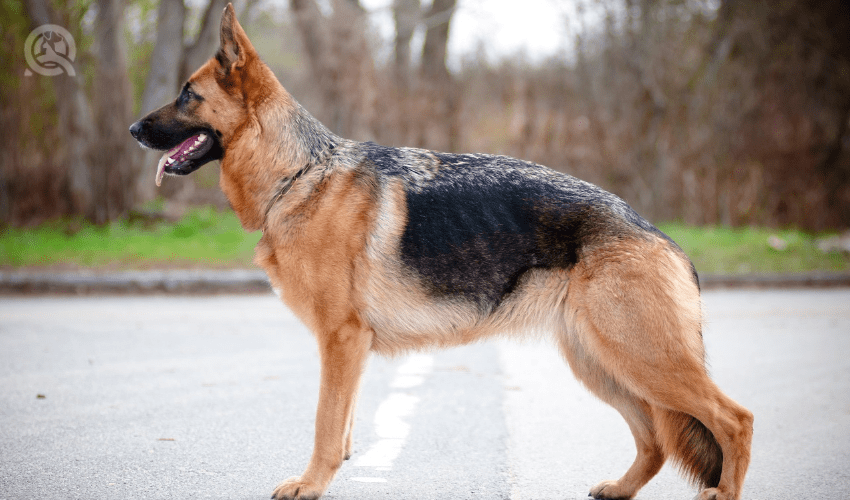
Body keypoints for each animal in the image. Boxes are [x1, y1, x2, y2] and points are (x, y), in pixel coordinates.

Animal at [129, 4, 752, 500]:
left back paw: (721, 492)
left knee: (734, 419)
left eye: (187, 95)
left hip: (642, 359)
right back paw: (619, 489)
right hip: (602, 364)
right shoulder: (348, 350)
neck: (299, 174)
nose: (134, 129)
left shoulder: (341, 340)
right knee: (656, 440)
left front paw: (310, 484)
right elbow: (343, 425)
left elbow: (326, 426)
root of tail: (658, 234)